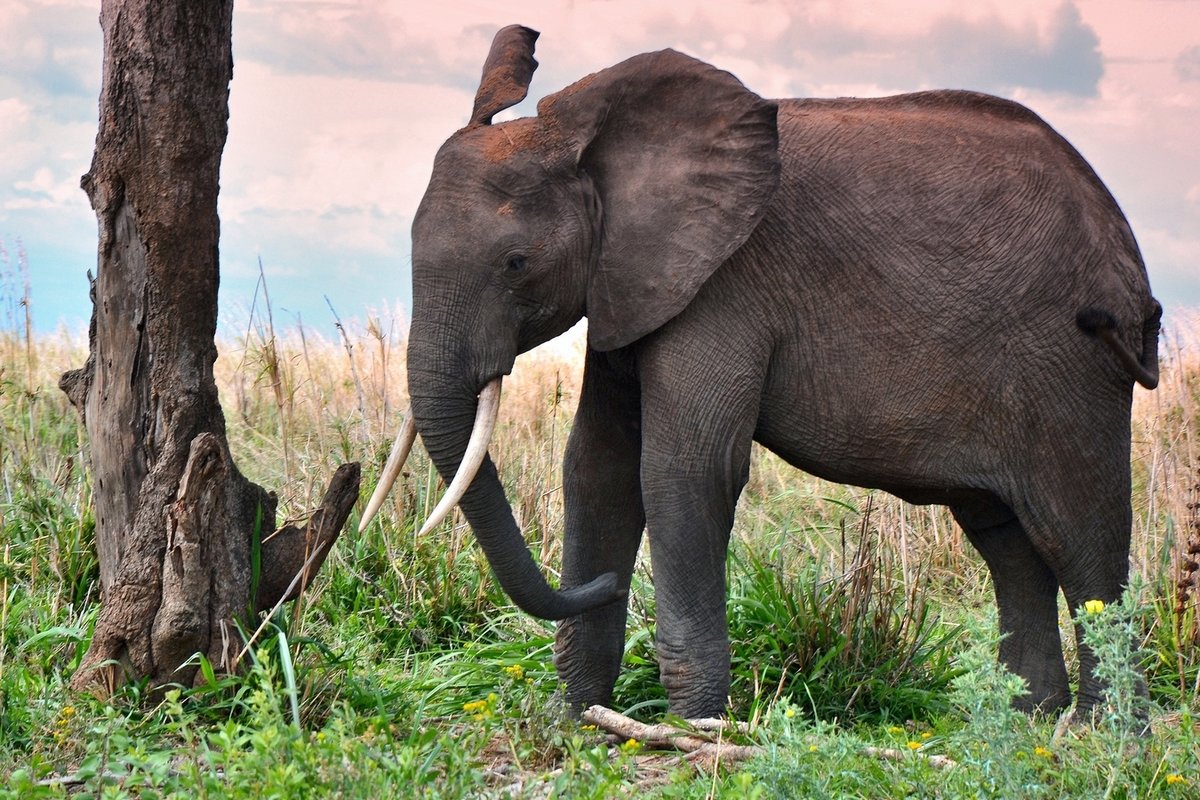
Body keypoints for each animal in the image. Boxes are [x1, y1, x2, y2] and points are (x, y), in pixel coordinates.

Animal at [360, 25, 1156, 719]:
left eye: (516, 263)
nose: (605, 585)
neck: (602, 152)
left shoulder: (725, 286)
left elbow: (683, 468)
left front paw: (694, 731)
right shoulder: (630, 278)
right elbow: (596, 465)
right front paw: (574, 719)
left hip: (1071, 366)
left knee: (1082, 542)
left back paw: (1100, 737)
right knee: (1008, 544)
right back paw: (1027, 726)